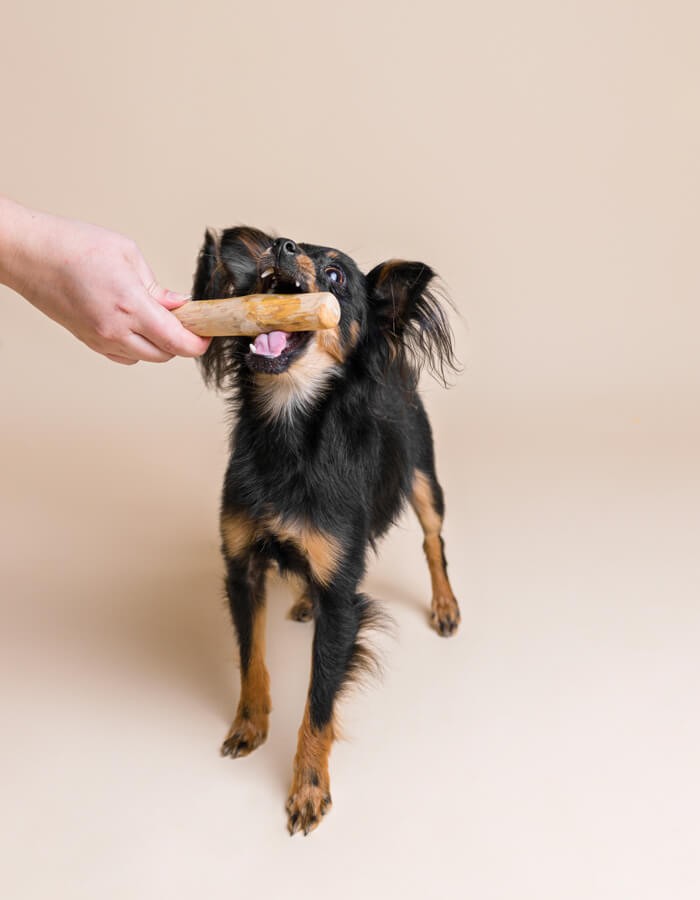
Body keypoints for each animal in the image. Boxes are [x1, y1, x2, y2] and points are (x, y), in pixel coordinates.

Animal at [191, 229, 460, 832]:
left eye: (336, 275)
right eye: (265, 265)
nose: (282, 246)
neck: (288, 426)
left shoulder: (343, 599)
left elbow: (319, 701)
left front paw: (309, 787)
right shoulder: (243, 569)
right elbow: (251, 659)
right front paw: (250, 724)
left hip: (423, 479)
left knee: (433, 539)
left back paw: (445, 605)